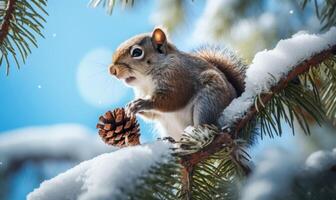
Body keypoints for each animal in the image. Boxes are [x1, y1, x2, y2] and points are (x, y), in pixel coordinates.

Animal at [109, 28, 245, 140]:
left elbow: (174, 98)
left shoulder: (178, 77)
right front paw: (129, 106)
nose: (112, 70)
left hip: (210, 101)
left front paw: (142, 103)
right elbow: (152, 115)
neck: (146, 82)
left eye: (137, 52)